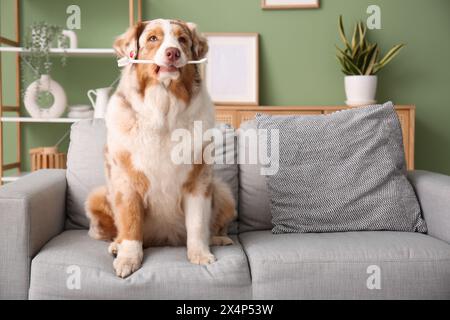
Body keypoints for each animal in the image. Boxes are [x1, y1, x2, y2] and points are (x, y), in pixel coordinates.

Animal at [85, 19, 237, 278]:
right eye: (153, 38)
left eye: (182, 40)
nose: (173, 52)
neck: (164, 111)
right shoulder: (125, 182)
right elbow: (130, 225)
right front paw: (128, 259)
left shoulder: (199, 180)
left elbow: (197, 224)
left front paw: (200, 254)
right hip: (97, 195)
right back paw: (116, 246)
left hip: (223, 192)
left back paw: (219, 239)